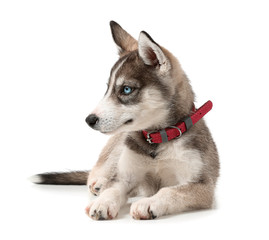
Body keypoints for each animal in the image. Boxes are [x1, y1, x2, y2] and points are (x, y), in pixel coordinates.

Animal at [33, 21, 218, 220]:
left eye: (126, 89)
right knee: (97, 173)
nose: (89, 120)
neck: (157, 141)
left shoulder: (202, 186)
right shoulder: (125, 177)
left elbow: (170, 191)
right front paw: (103, 202)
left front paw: (148, 203)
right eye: (107, 89)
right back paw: (100, 183)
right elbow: (113, 189)